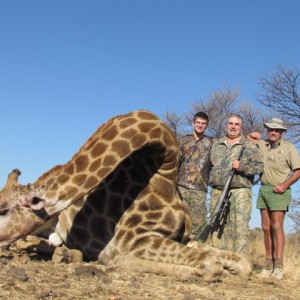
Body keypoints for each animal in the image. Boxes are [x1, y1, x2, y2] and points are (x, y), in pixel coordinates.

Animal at [0, 109, 252, 282]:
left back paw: (64, 252)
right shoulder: (135, 239)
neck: (166, 176)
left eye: (3, 209)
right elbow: (211, 263)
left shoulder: (182, 239)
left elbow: (240, 263)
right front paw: (112, 258)